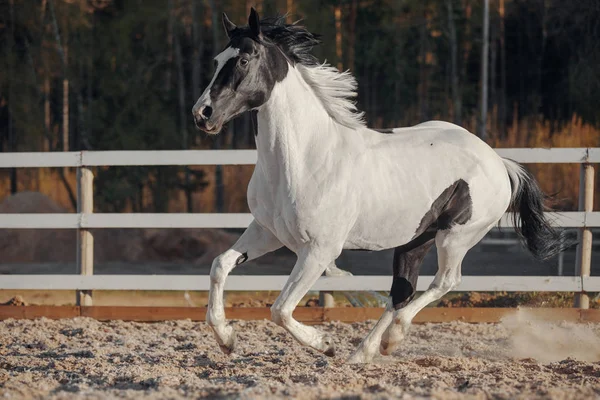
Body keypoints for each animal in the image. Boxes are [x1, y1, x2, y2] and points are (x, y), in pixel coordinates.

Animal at [192, 9, 568, 364]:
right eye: (216, 60)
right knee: (402, 290)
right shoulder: (267, 233)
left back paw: (392, 337)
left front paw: (325, 344)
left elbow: (280, 309)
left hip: (456, 236)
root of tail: (498, 161)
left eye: (244, 59)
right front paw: (226, 339)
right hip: (416, 239)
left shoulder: (320, 250)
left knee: (443, 282)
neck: (304, 159)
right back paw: (366, 352)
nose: (202, 114)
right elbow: (219, 265)